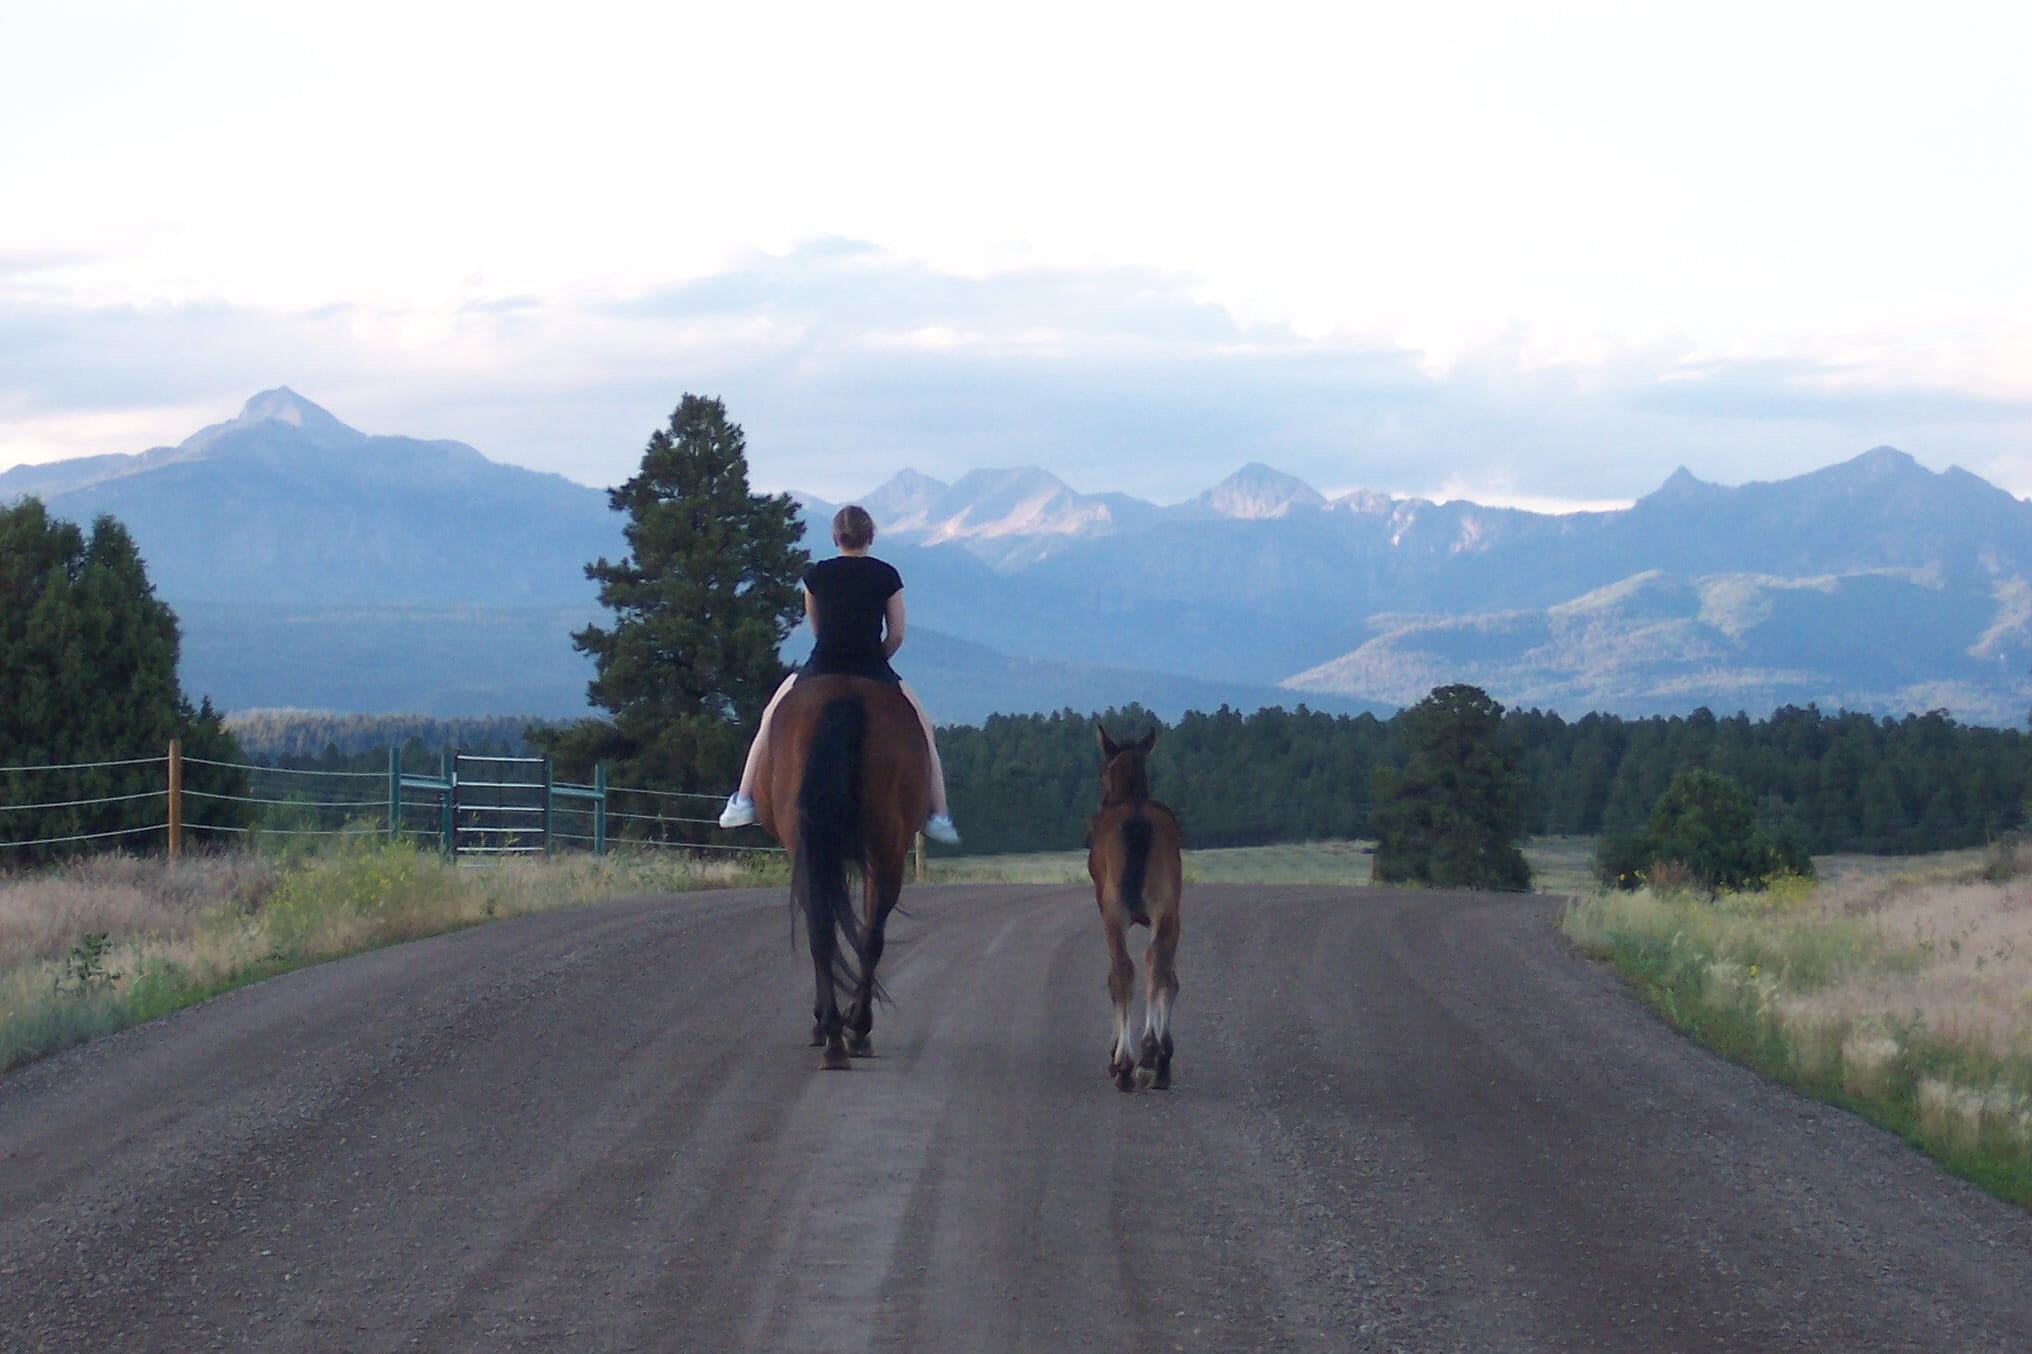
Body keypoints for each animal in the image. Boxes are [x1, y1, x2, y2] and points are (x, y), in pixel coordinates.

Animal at [752, 673, 932, 1071]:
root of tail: (843, 692)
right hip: (879, 848)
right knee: (861, 935)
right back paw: (849, 1032)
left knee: (836, 930)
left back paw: (840, 1033)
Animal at [1086, 723, 1183, 1092]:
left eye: (1101, 771)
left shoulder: (1106, 907)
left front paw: (1116, 1056)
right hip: (1168, 906)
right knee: (1159, 966)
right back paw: (1155, 1055)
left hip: (1114, 908)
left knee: (1123, 972)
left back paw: (1128, 1063)